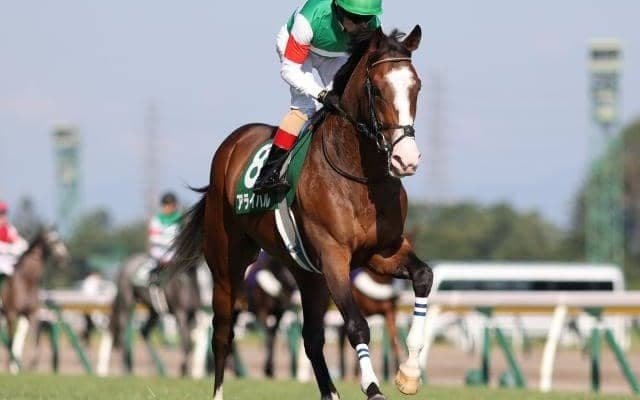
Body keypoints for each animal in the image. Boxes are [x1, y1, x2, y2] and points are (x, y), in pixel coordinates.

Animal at [0, 227, 69, 372]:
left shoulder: (31, 314)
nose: (63, 257)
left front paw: (33, 363)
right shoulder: (11, 314)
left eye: (59, 238)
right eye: (51, 240)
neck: (26, 281)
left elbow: (35, 339)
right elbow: (11, 340)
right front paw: (10, 365)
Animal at [171, 26, 431, 400]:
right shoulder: (334, 255)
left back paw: (331, 393)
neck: (360, 177)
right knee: (222, 331)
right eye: (377, 89)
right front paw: (372, 387)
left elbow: (424, 276)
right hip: (226, 265)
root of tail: (232, 144)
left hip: (308, 274)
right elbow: (357, 325)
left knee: (311, 338)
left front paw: (409, 373)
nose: (405, 159)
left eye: (416, 86)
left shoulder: (382, 251)